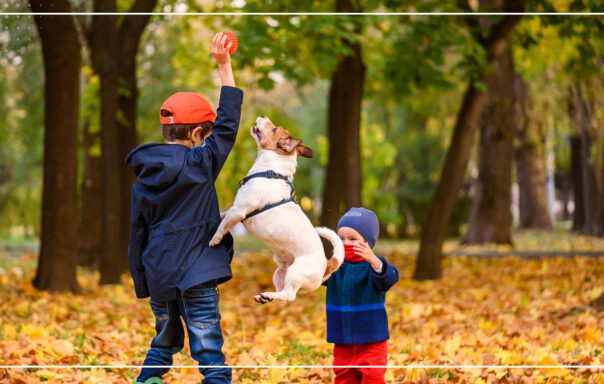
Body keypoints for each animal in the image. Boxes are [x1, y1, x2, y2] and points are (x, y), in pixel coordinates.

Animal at [208, 115, 342, 304]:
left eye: (274, 129)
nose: (263, 116)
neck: (270, 172)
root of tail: (327, 266)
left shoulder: (239, 211)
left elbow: (222, 226)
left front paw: (214, 239)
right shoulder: (234, 209)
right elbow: (222, 216)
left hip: (295, 273)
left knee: (290, 295)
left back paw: (270, 295)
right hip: (280, 272)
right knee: (283, 293)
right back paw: (266, 296)